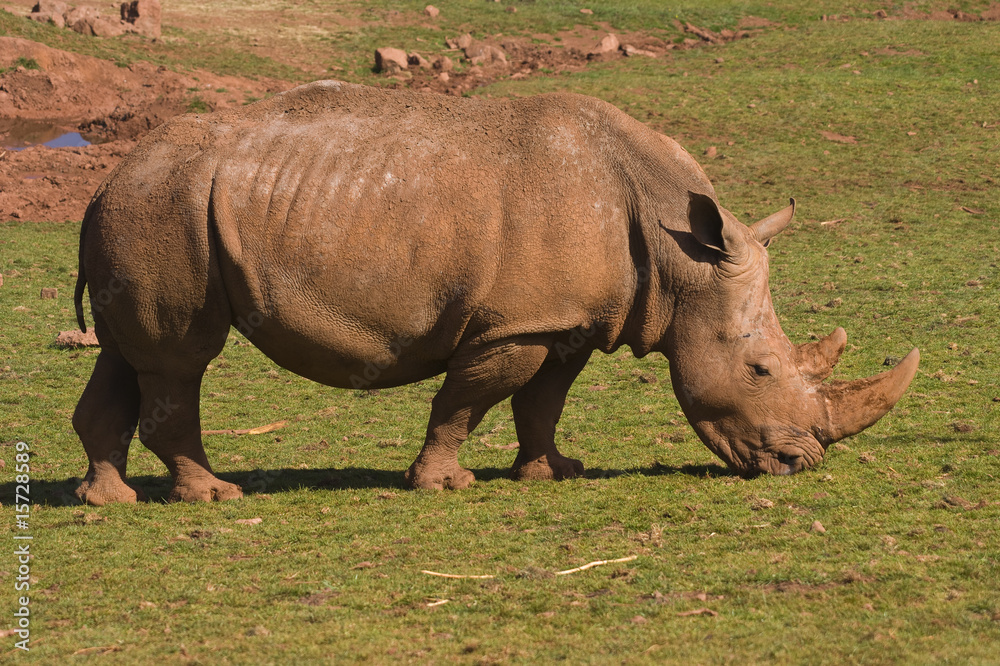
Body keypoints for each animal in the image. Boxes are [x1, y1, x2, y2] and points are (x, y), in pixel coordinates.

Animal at [71, 81, 919, 505]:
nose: (799, 464)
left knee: (128, 356)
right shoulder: (514, 324)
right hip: (167, 206)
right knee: (181, 358)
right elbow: (469, 400)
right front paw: (445, 485)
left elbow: (542, 401)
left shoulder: (568, 320)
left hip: (147, 209)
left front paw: (554, 473)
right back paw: (215, 496)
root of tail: (106, 178)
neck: (680, 257)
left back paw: (109, 501)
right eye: (760, 370)